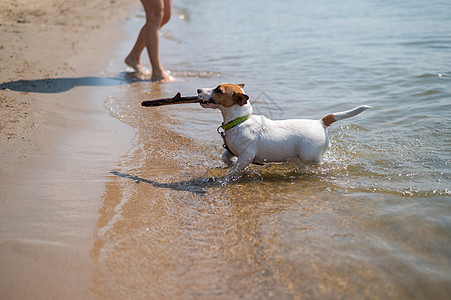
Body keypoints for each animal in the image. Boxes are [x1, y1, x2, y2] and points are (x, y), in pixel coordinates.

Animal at [200, 83, 372, 175]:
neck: (239, 121)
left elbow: (233, 171)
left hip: (310, 156)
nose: (198, 90)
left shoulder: (247, 156)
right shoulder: (232, 150)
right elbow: (225, 157)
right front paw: (229, 164)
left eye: (219, 90)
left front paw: (227, 178)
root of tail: (320, 123)